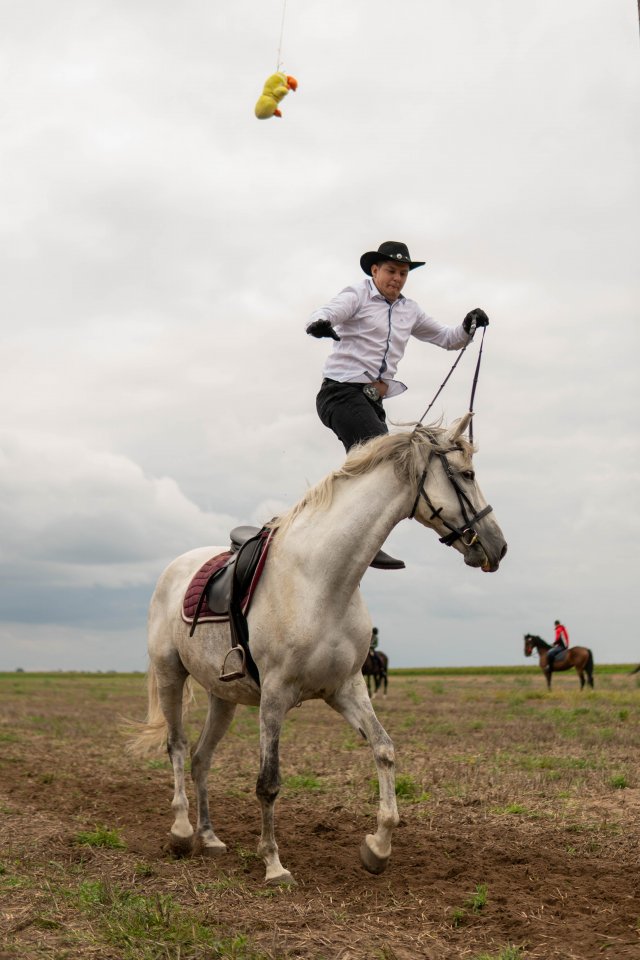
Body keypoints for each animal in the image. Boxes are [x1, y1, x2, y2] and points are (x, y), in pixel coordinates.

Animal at [129, 414, 510, 884]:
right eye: (467, 475)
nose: (498, 545)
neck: (322, 579)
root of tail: (175, 567)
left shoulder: (346, 688)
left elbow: (384, 750)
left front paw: (378, 848)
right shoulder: (274, 697)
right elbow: (268, 782)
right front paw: (274, 864)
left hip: (224, 697)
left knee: (201, 758)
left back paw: (211, 837)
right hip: (170, 675)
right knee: (178, 747)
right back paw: (182, 833)